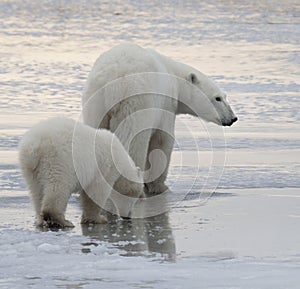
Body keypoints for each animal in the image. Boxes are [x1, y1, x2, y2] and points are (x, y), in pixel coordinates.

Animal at [82, 42, 237, 194]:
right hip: (136, 100)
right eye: (217, 98)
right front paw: (159, 187)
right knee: (132, 140)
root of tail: (112, 82)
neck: (174, 76)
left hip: (95, 103)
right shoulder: (166, 105)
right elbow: (162, 140)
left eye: (224, 96)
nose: (233, 118)